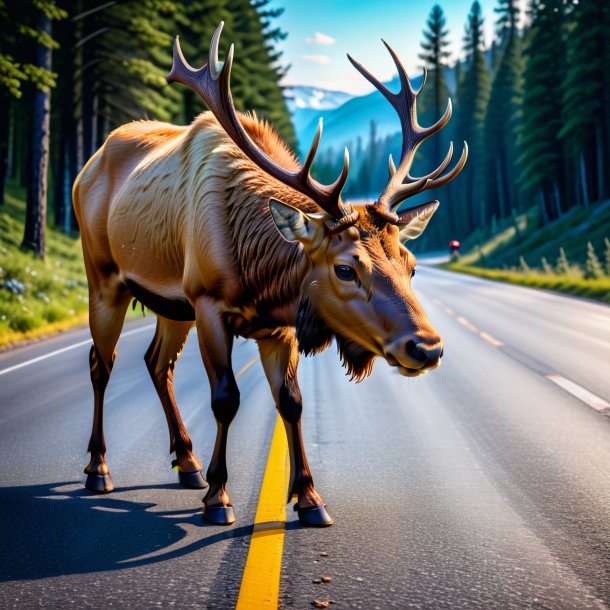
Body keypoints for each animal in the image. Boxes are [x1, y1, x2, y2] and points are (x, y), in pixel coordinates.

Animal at [73, 22, 466, 528]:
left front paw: (310, 498)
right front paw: (219, 497)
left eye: (411, 265)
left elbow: (291, 401)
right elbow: (226, 398)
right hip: (104, 279)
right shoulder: (208, 303)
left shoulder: (279, 326)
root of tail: (87, 167)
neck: (262, 279)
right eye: (345, 268)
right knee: (102, 364)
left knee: (157, 363)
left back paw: (186, 462)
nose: (427, 347)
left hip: (172, 306)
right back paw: (99, 469)